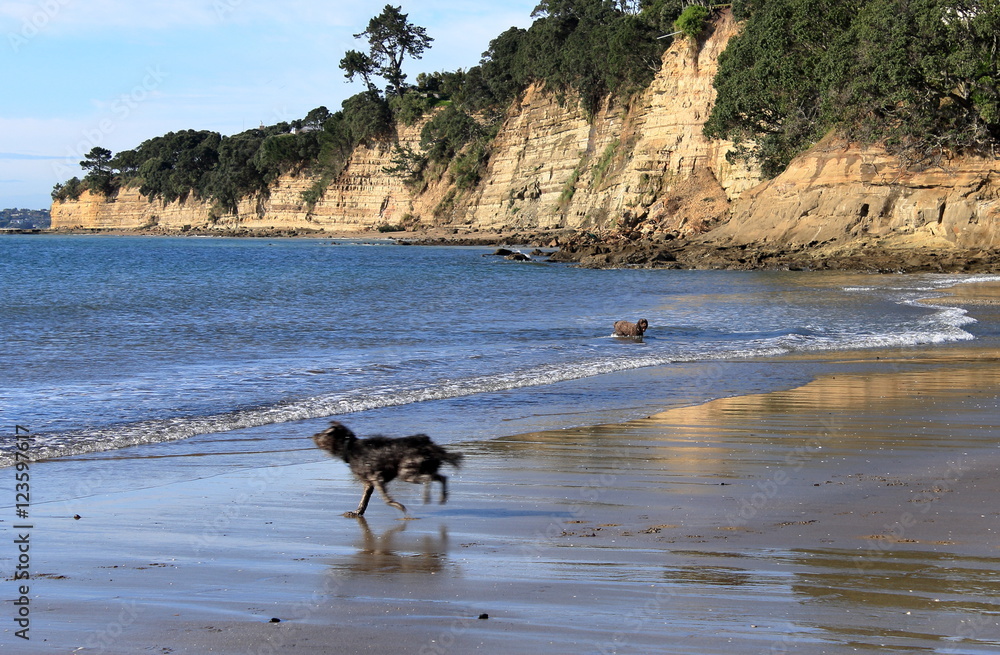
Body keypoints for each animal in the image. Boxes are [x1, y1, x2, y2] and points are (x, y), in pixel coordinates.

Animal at [312, 422, 464, 520]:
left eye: (324, 434)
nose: (314, 435)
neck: (349, 447)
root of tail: (428, 445)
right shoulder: (369, 483)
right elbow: (364, 500)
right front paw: (357, 512)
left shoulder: (376, 478)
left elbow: (386, 499)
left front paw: (398, 506)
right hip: (423, 468)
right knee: (442, 477)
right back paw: (442, 497)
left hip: (406, 472)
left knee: (428, 479)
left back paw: (427, 497)